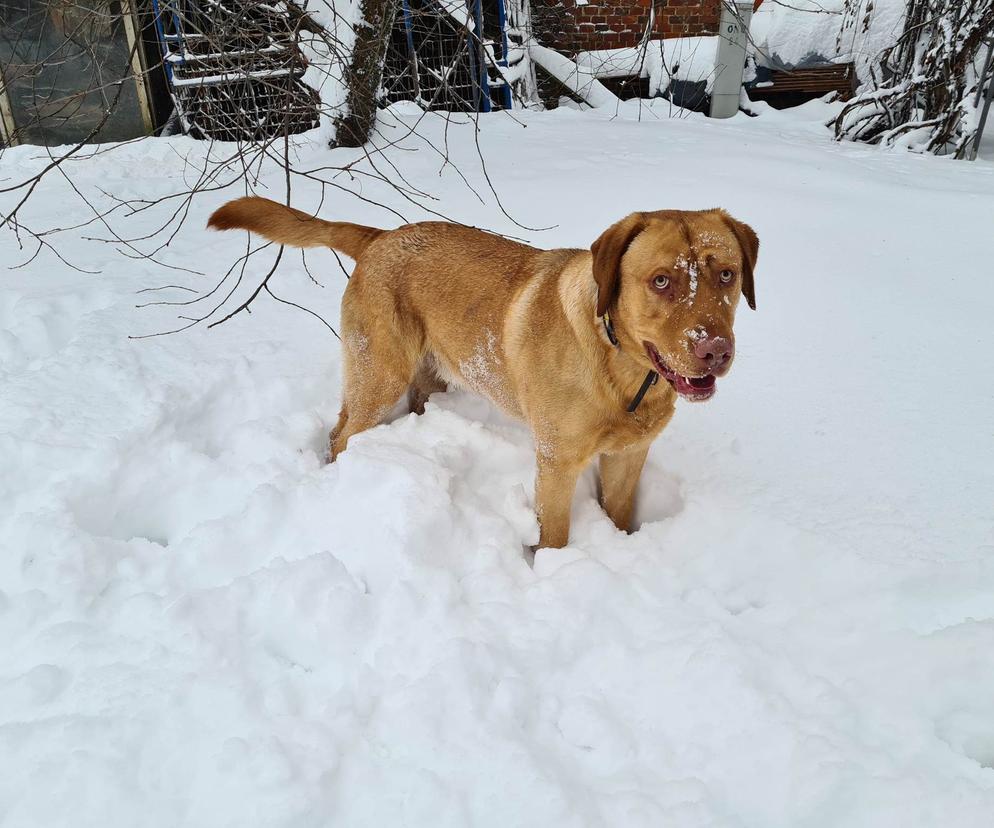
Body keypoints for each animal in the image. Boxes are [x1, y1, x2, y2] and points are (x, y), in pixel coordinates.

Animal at [205, 198, 756, 548]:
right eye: (661, 281)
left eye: (727, 275)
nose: (715, 350)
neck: (624, 372)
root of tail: (382, 237)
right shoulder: (556, 462)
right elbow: (555, 535)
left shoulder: (629, 456)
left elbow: (618, 513)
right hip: (378, 374)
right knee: (341, 433)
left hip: (429, 374)